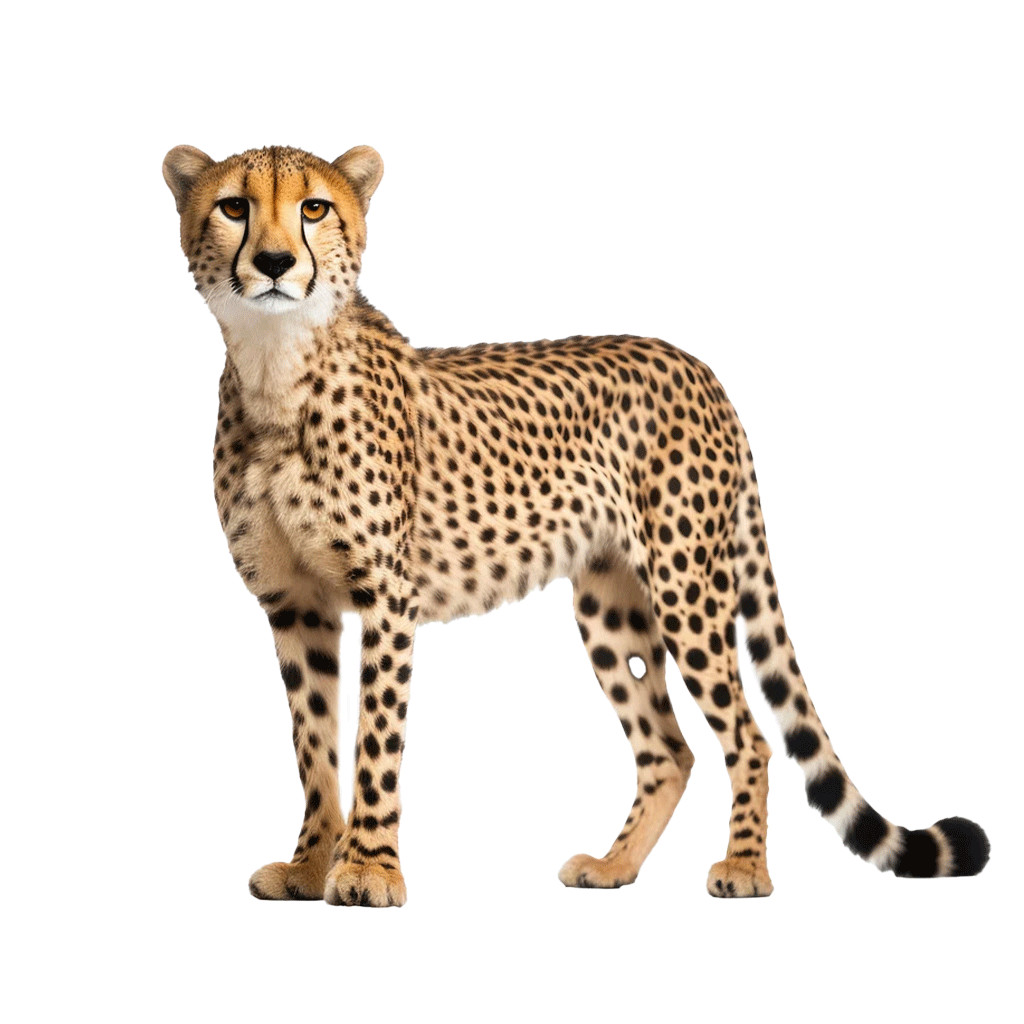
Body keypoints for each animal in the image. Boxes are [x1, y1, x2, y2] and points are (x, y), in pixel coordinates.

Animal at [163, 143, 990, 907]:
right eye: (234, 207)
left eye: (314, 208)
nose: (274, 262)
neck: (276, 370)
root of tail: (698, 366)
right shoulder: (294, 604)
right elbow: (313, 744)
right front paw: (309, 866)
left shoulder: (386, 597)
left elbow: (375, 740)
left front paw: (367, 869)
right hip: (611, 605)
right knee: (669, 750)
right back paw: (615, 865)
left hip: (686, 587)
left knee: (749, 737)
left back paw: (747, 868)